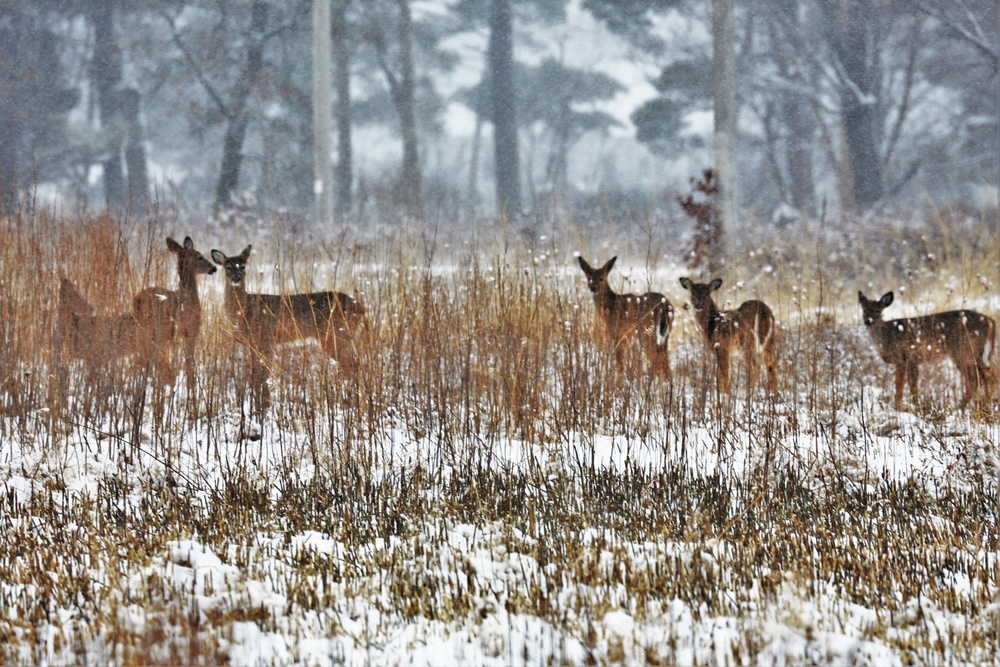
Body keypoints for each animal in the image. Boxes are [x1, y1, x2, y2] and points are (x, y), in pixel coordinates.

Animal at [131, 237, 215, 392]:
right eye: (199, 256)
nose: (213, 268)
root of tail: (136, 301)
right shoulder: (191, 331)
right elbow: (189, 362)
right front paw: (191, 388)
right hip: (157, 330)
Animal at [210, 245, 368, 408]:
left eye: (242, 266)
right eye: (228, 267)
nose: (237, 278)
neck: (245, 310)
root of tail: (361, 307)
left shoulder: (266, 340)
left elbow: (263, 374)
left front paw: (264, 406)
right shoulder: (254, 345)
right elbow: (256, 375)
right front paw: (259, 405)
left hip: (335, 336)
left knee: (352, 366)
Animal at [856, 294, 996, 412]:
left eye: (877, 311)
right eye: (864, 310)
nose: (868, 321)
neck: (887, 335)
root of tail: (990, 322)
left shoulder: (904, 357)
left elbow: (904, 384)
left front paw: (903, 407)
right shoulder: (909, 361)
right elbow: (908, 384)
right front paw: (910, 405)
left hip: (963, 350)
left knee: (978, 378)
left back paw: (962, 407)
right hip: (975, 353)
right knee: (987, 375)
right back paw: (983, 406)